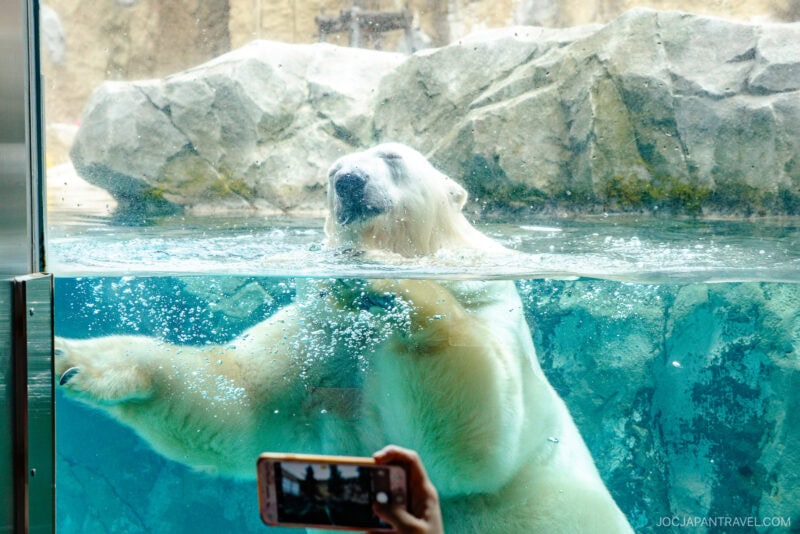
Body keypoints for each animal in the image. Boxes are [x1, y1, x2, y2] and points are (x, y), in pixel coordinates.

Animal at [56, 143, 633, 533]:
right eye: (330, 172)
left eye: (392, 156)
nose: (349, 181)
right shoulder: (321, 335)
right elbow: (241, 403)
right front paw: (76, 358)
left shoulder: (487, 305)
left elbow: (477, 446)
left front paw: (388, 281)